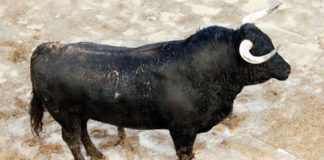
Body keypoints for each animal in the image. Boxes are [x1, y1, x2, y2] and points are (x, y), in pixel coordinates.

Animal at [29, 23, 290, 160]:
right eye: (260, 51)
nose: (288, 69)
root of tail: (44, 49)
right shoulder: (182, 131)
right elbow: (185, 155)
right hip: (64, 114)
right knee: (71, 139)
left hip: (80, 113)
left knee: (83, 133)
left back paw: (99, 155)